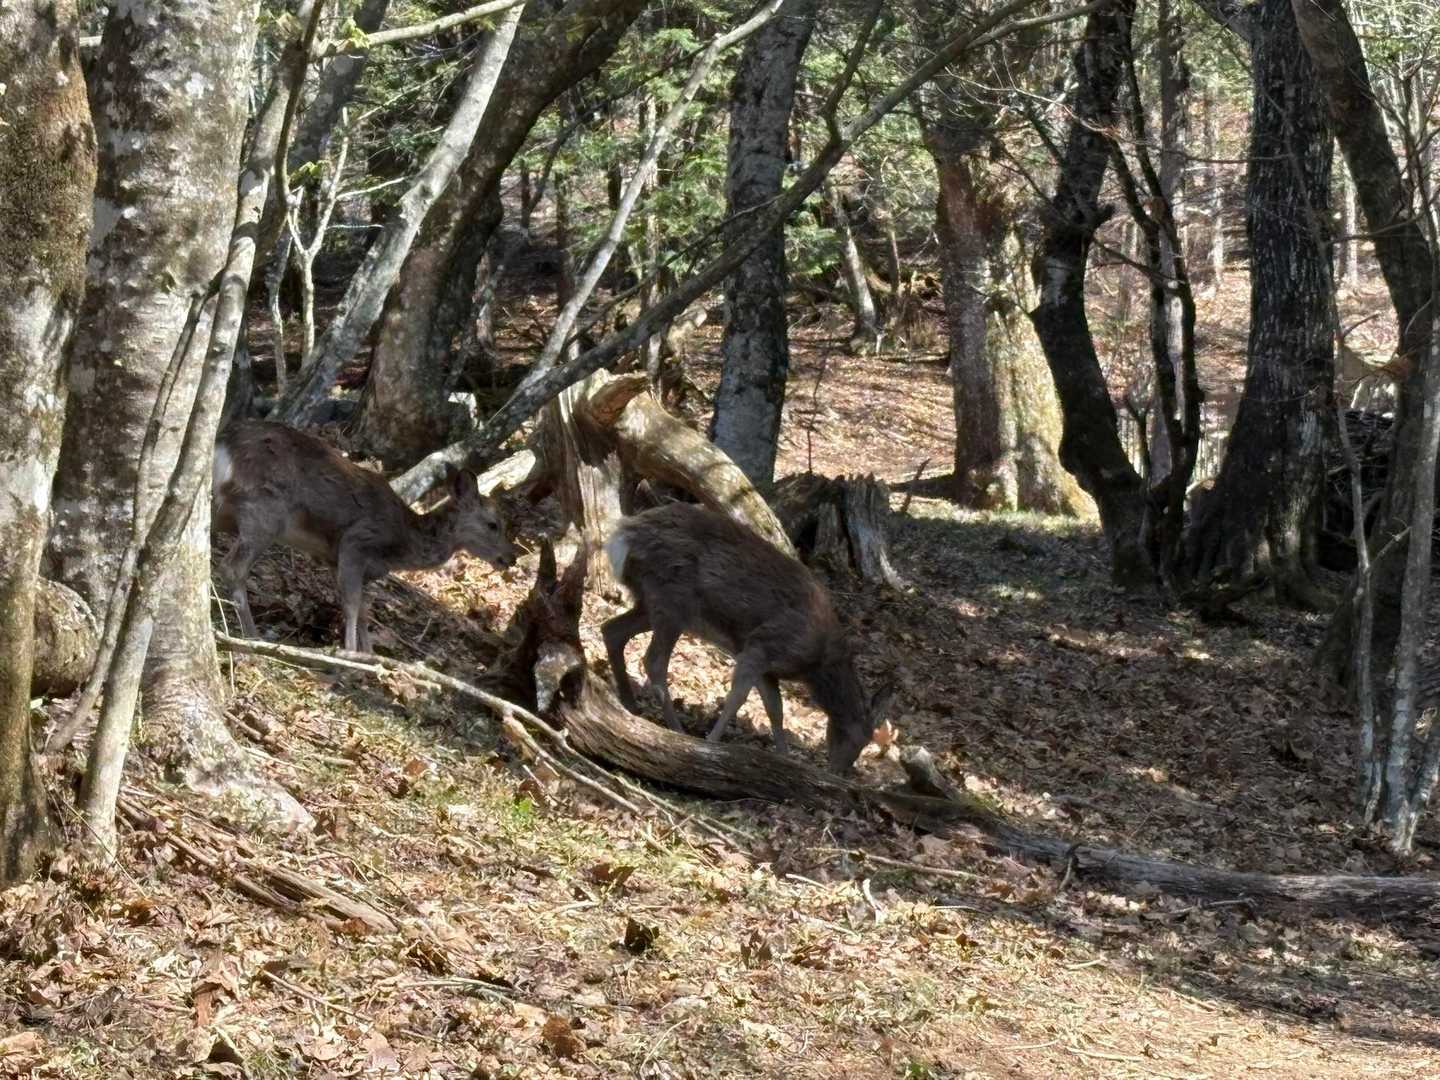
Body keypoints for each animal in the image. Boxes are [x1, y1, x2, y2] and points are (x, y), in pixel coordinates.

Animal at [211, 420, 518, 653]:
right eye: (493, 524)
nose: (511, 557)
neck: (401, 544)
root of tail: (224, 446)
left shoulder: (351, 563)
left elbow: (363, 609)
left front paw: (369, 652)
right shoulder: (356, 542)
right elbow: (351, 603)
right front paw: (350, 653)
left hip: (225, 510)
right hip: (264, 511)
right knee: (232, 567)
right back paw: (251, 636)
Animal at [601, 502, 890, 773]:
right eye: (857, 738)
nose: (839, 771)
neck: (815, 664)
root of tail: (621, 536)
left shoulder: (768, 668)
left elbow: (775, 710)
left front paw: (785, 759)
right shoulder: (760, 646)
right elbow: (739, 698)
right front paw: (712, 743)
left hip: (650, 603)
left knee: (611, 629)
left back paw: (630, 705)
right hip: (671, 601)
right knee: (654, 662)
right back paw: (678, 732)